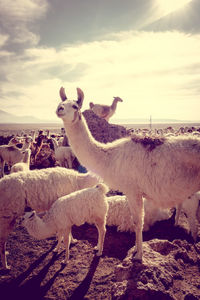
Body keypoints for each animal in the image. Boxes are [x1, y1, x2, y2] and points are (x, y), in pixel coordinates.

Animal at [56, 85, 200, 262]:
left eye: (75, 106)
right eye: (60, 102)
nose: (60, 109)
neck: (110, 157)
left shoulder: (133, 190)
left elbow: (138, 222)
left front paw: (138, 256)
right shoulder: (134, 192)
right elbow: (136, 220)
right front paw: (136, 252)